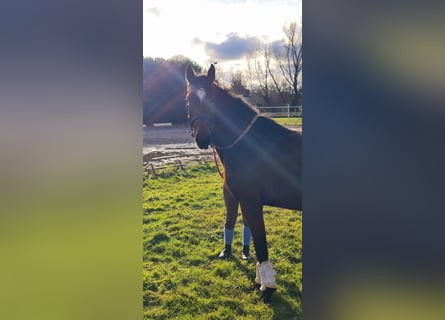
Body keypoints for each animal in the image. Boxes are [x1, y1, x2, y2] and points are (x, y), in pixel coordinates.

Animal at [184, 63, 302, 304]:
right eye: (189, 99)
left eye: (213, 99)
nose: (202, 138)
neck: (250, 146)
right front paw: (261, 281)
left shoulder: (251, 203)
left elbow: (260, 242)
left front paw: (267, 289)